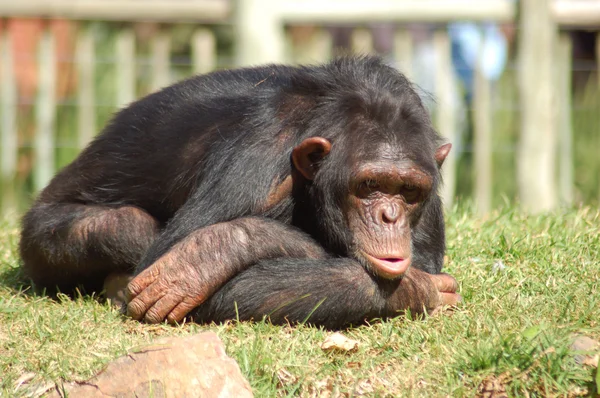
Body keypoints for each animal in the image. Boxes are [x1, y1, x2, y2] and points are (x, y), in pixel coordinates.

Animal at [18, 56, 460, 330]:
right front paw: (218, 248)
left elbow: (420, 262)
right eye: (368, 186)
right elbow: (171, 268)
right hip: (40, 238)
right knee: (128, 225)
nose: (389, 216)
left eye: (407, 190)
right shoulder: (258, 158)